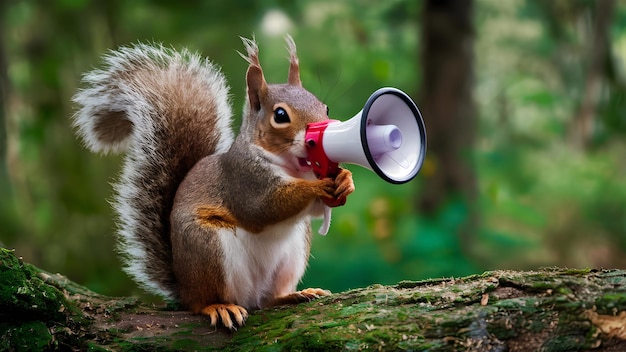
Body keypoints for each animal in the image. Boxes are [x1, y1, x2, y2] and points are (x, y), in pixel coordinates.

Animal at [70, 36, 354, 330]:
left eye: (324, 106)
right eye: (280, 115)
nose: (321, 132)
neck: (293, 168)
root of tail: (184, 288)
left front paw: (345, 180)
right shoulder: (242, 180)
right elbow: (265, 207)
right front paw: (317, 187)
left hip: (292, 254)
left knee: (267, 300)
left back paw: (294, 295)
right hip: (207, 248)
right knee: (202, 303)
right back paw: (219, 307)